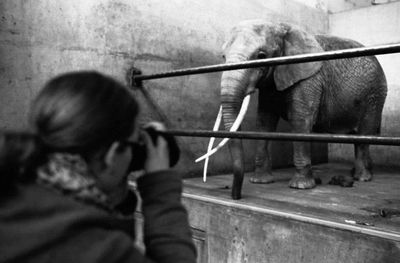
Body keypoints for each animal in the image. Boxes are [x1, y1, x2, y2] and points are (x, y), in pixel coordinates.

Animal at [198, 20, 386, 200]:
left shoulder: (309, 78)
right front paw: (260, 181)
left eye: (261, 56)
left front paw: (300, 186)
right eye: (223, 56)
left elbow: (300, 120)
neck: (282, 26)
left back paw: (362, 178)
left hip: (374, 96)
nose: (236, 196)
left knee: (364, 135)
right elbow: (264, 122)